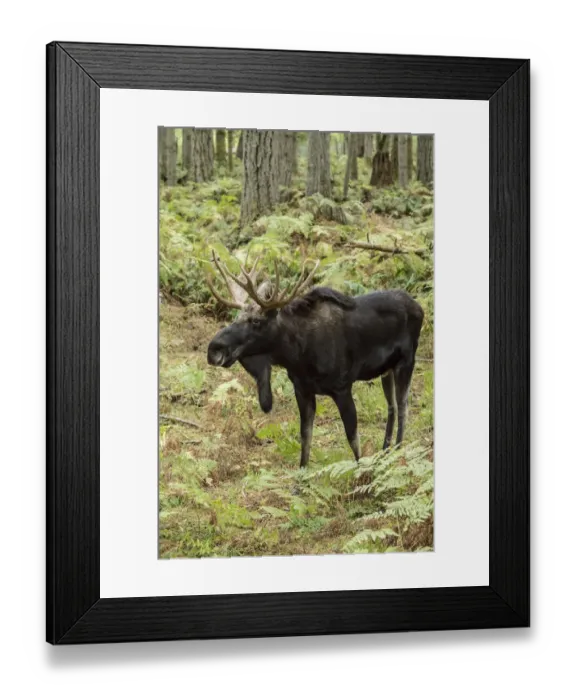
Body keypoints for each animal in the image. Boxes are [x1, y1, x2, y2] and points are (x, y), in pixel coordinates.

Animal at [205, 250, 424, 468]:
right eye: (236, 317)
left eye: (256, 321)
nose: (214, 348)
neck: (298, 357)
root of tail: (419, 308)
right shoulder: (303, 390)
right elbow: (305, 438)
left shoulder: (342, 388)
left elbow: (353, 440)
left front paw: (363, 471)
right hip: (386, 370)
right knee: (392, 407)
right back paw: (385, 451)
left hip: (406, 362)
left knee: (403, 407)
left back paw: (398, 450)